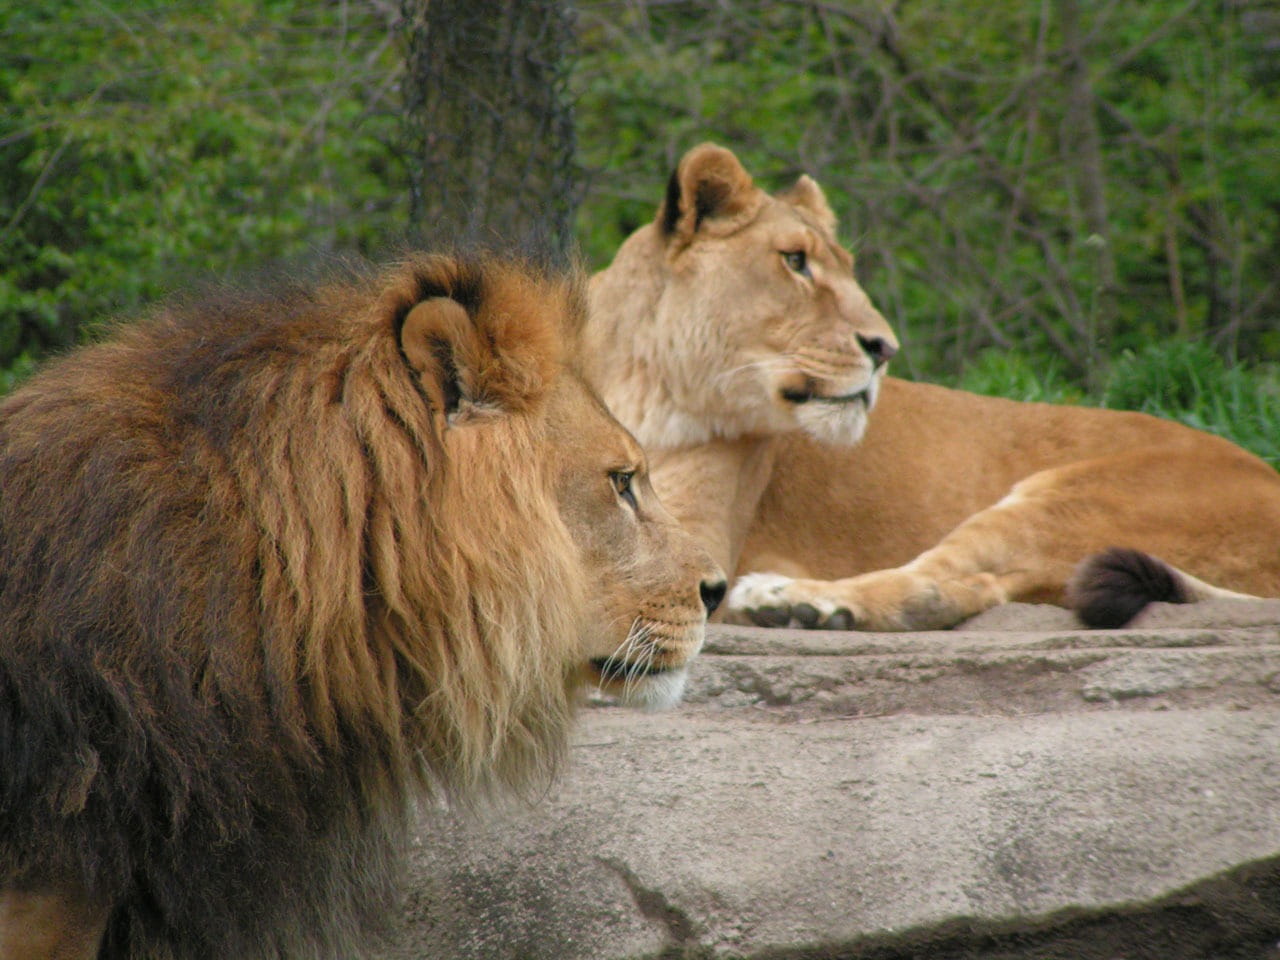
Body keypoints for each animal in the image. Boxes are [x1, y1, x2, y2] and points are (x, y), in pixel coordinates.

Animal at [582, 142, 1280, 632]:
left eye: (845, 268)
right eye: (795, 261)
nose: (884, 348)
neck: (640, 382)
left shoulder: (701, 543)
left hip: (1079, 496)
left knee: (942, 582)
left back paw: (798, 604)